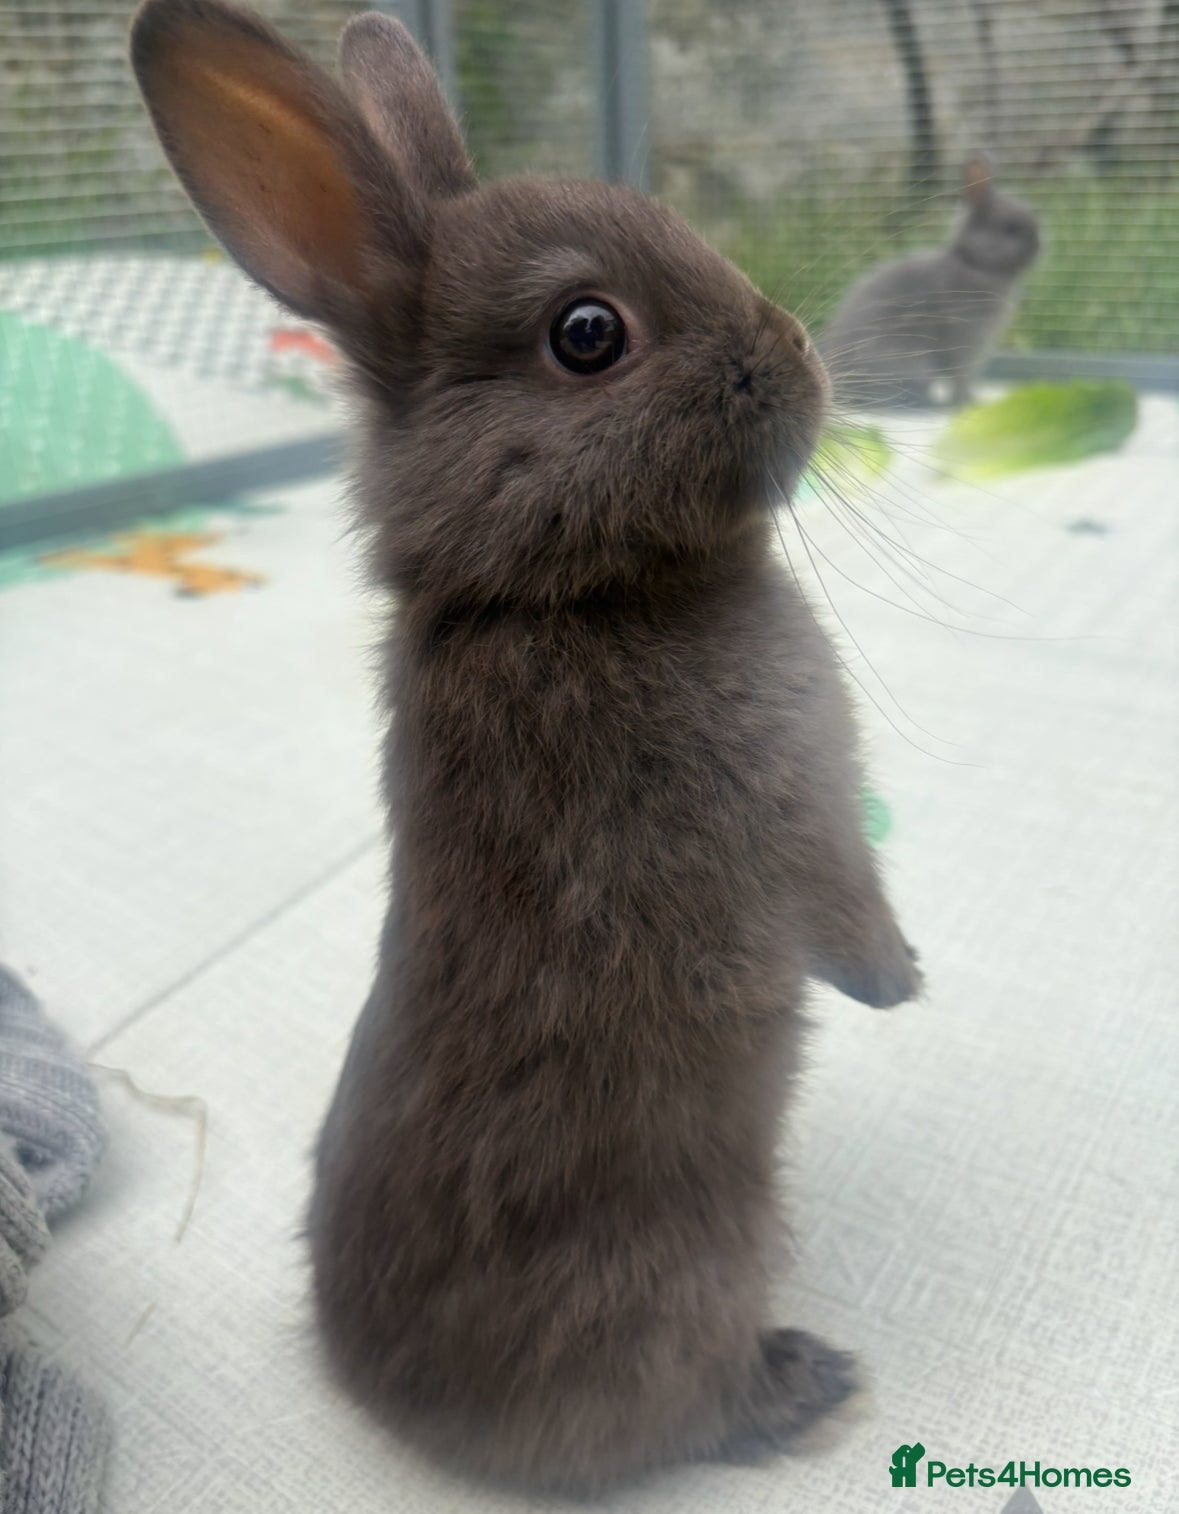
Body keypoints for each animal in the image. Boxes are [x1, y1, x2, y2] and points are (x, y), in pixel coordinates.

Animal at [131, 0, 923, 1493]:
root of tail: (385, 1397)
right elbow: (834, 901)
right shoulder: (781, 808)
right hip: (692, 1261)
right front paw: (899, 983)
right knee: (678, 1408)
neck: (559, 589)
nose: (796, 351)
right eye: (587, 333)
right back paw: (806, 1382)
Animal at [820, 155, 1041, 408]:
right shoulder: (967, 341)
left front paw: (970, 399)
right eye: (1010, 228)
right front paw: (966, 402)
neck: (974, 263)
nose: (1038, 247)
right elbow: (962, 376)